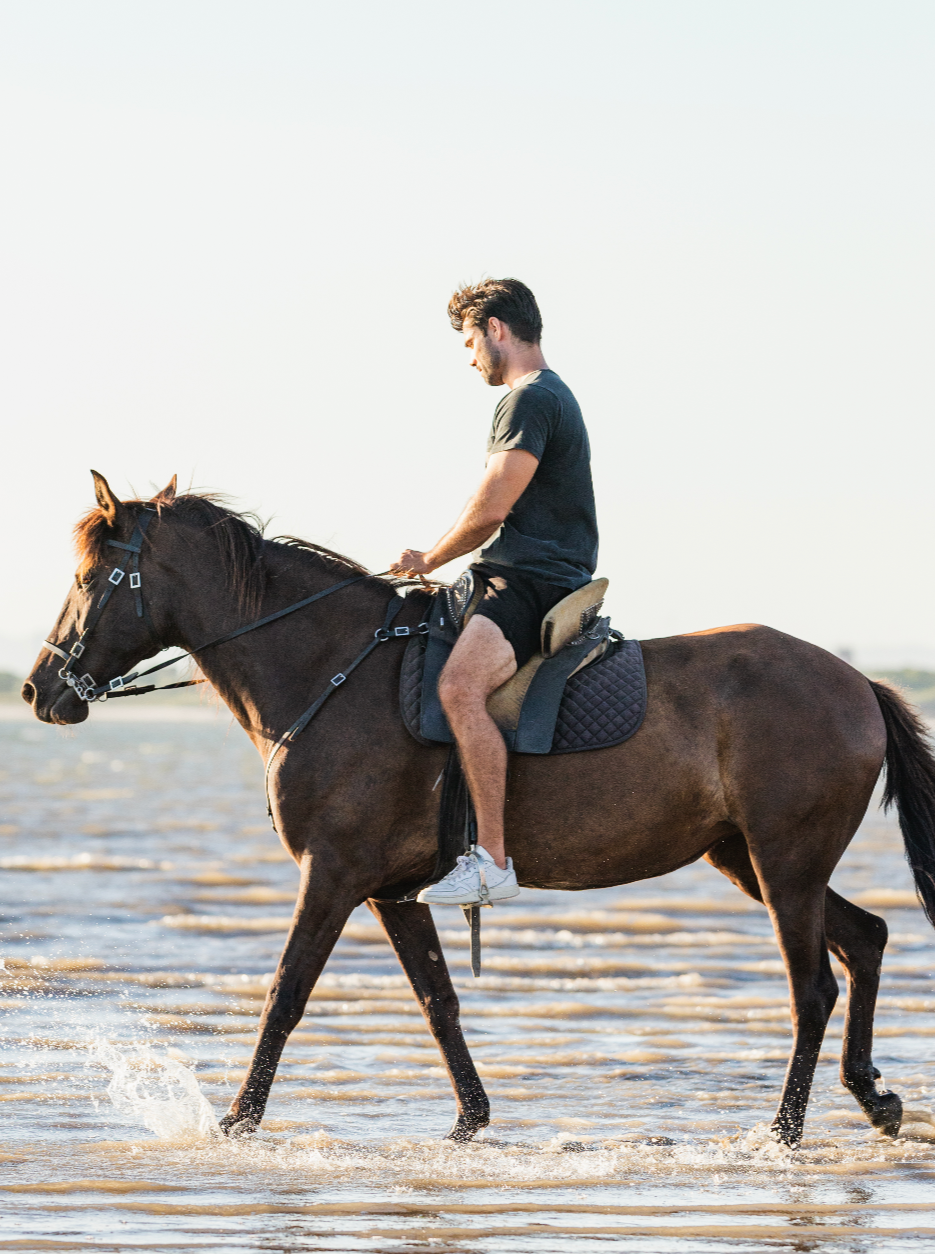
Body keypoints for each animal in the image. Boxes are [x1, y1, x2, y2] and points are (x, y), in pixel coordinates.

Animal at [18, 474, 932, 1148]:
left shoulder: (333, 874)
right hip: (750, 858)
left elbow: (286, 991)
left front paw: (237, 1123)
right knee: (865, 940)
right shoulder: (389, 892)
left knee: (812, 986)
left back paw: (783, 1131)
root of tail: (856, 681)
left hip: (783, 862)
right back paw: (871, 1097)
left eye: (92, 580)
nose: (37, 689)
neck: (331, 670)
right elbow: (438, 1000)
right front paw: (469, 1121)